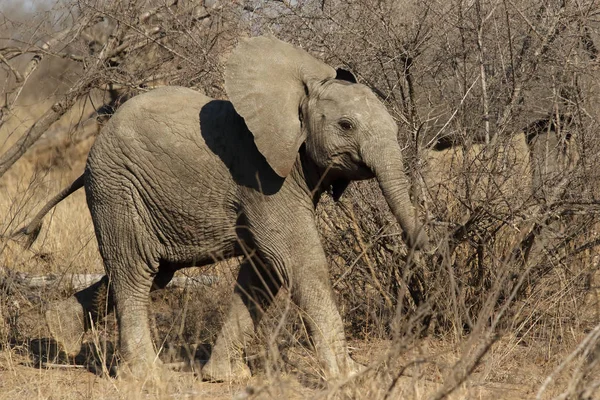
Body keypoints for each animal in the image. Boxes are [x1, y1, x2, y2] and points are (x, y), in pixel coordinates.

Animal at [18, 36, 428, 382]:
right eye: (346, 125)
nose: (424, 246)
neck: (299, 90)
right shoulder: (261, 176)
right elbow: (296, 259)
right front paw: (350, 376)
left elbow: (264, 270)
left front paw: (224, 377)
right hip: (118, 188)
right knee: (135, 272)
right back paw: (148, 377)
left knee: (153, 273)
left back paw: (59, 329)